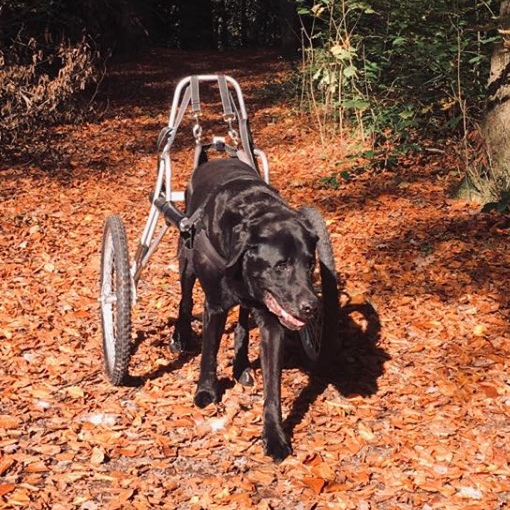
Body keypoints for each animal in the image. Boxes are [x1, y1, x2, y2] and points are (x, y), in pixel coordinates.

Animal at [173, 158, 320, 462]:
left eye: (310, 263)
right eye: (281, 265)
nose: (311, 307)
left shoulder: (273, 324)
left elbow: (273, 386)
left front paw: (274, 436)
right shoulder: (214, 306)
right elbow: (209, 353)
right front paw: (206, 391)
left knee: (242, 320)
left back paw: (241, 365)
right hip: (186, 258)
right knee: (185, 300)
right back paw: (180, 336)